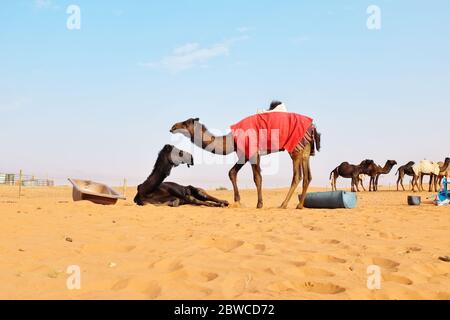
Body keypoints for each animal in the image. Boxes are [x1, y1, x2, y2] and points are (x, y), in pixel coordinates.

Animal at [169, 101, 320, 209]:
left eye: (186, 122)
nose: (173, 127)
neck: (231, 139)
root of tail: (313, 126)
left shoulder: (252, 152)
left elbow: (257, 178)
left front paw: (259, 204)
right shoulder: (243, 154)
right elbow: (232, 173)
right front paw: (238, 201)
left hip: (295, 148)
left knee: (297, 176)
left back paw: (283, 204)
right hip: (305, 151)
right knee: (308, 176)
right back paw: (299, 205)